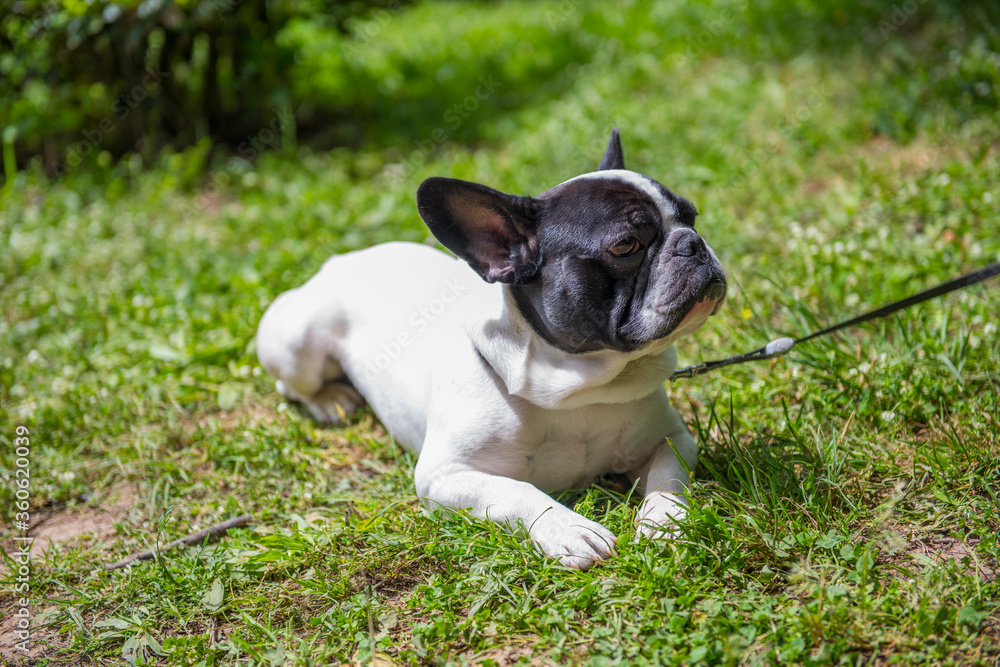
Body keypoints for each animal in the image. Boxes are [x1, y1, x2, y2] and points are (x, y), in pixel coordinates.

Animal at [258, 130, 728, 568]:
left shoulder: (672, 438)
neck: (582, 387)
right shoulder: (445, 475)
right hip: (295, 344)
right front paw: (569, 529)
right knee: (291, 385)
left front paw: (666, 521)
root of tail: (338, 261)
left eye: (693, 217)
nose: (693, 243)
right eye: (626, 245)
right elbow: (516, 490)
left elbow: (669, 477)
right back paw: (331, 400)